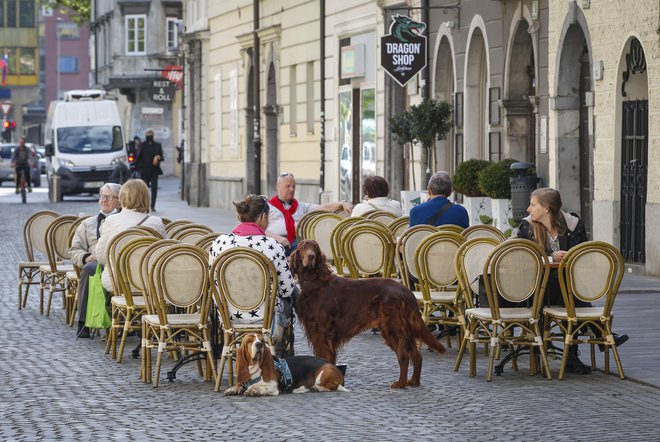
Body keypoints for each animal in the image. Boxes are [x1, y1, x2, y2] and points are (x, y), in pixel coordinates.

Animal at [290, 240, 448, 388]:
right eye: (303, 247)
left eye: (315, 248)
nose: (310, 256)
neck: (316, 282)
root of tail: (406, 291)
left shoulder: (322, 333)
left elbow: (324, 358)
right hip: (404, 330)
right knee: (416, 356)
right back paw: (413, 382)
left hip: (392, 329)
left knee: (404, 356)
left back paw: (400, 383)